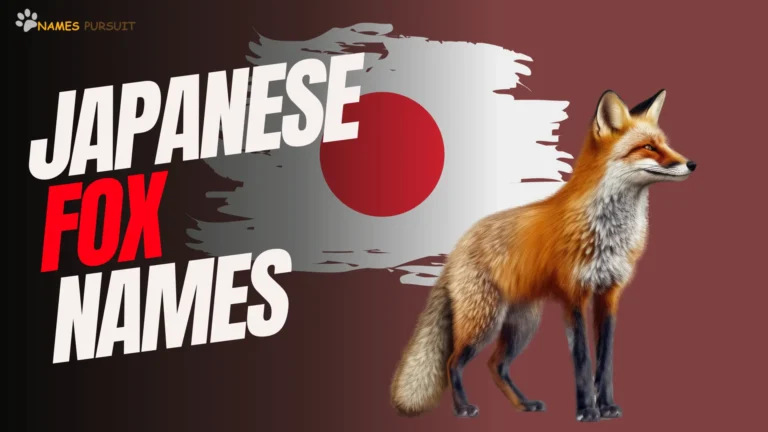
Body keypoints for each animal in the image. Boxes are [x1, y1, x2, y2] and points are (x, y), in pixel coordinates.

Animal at [390, 89, 696, 422]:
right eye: (648, 147)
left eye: (665, 143)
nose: (691, 164)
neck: (607, 231)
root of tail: (459, 243)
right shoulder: (573, 295)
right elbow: (582, 360)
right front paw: (587, 410)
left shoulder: (609, 294)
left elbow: (605, 362)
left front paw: (607, 406)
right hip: (485, 322)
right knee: (452, 362)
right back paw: (463, 408)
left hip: (523, 326)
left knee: (495, 366)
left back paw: (524, 404)